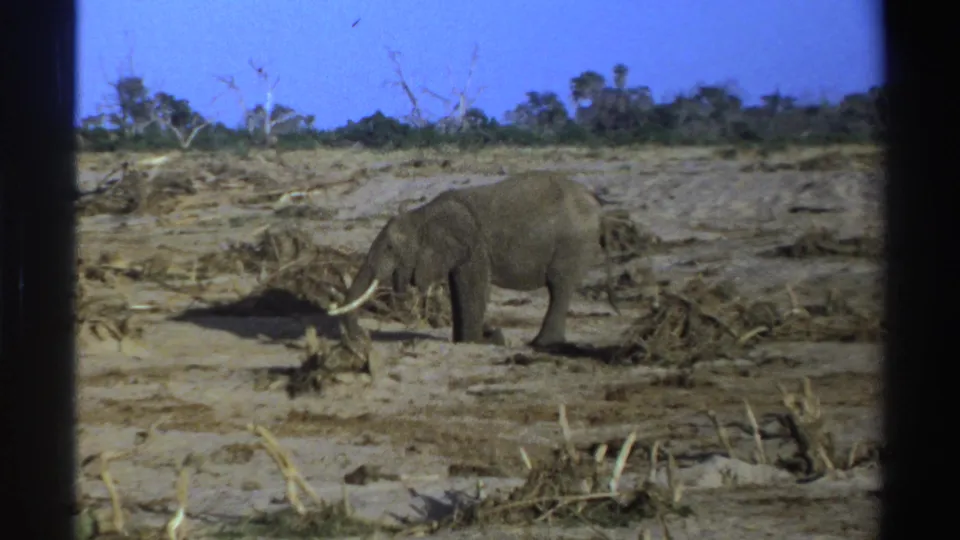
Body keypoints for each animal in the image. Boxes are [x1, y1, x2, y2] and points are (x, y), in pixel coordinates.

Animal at [328, 173, 619, 347]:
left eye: (390, 247)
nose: (362, 336)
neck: (423, 213)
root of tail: (599, 206)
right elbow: (458, 287)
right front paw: (466, 342)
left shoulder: (474, 245)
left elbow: (473, 287)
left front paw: (476, 343)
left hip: (574, 243)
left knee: (559, 287)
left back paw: (541, 345)